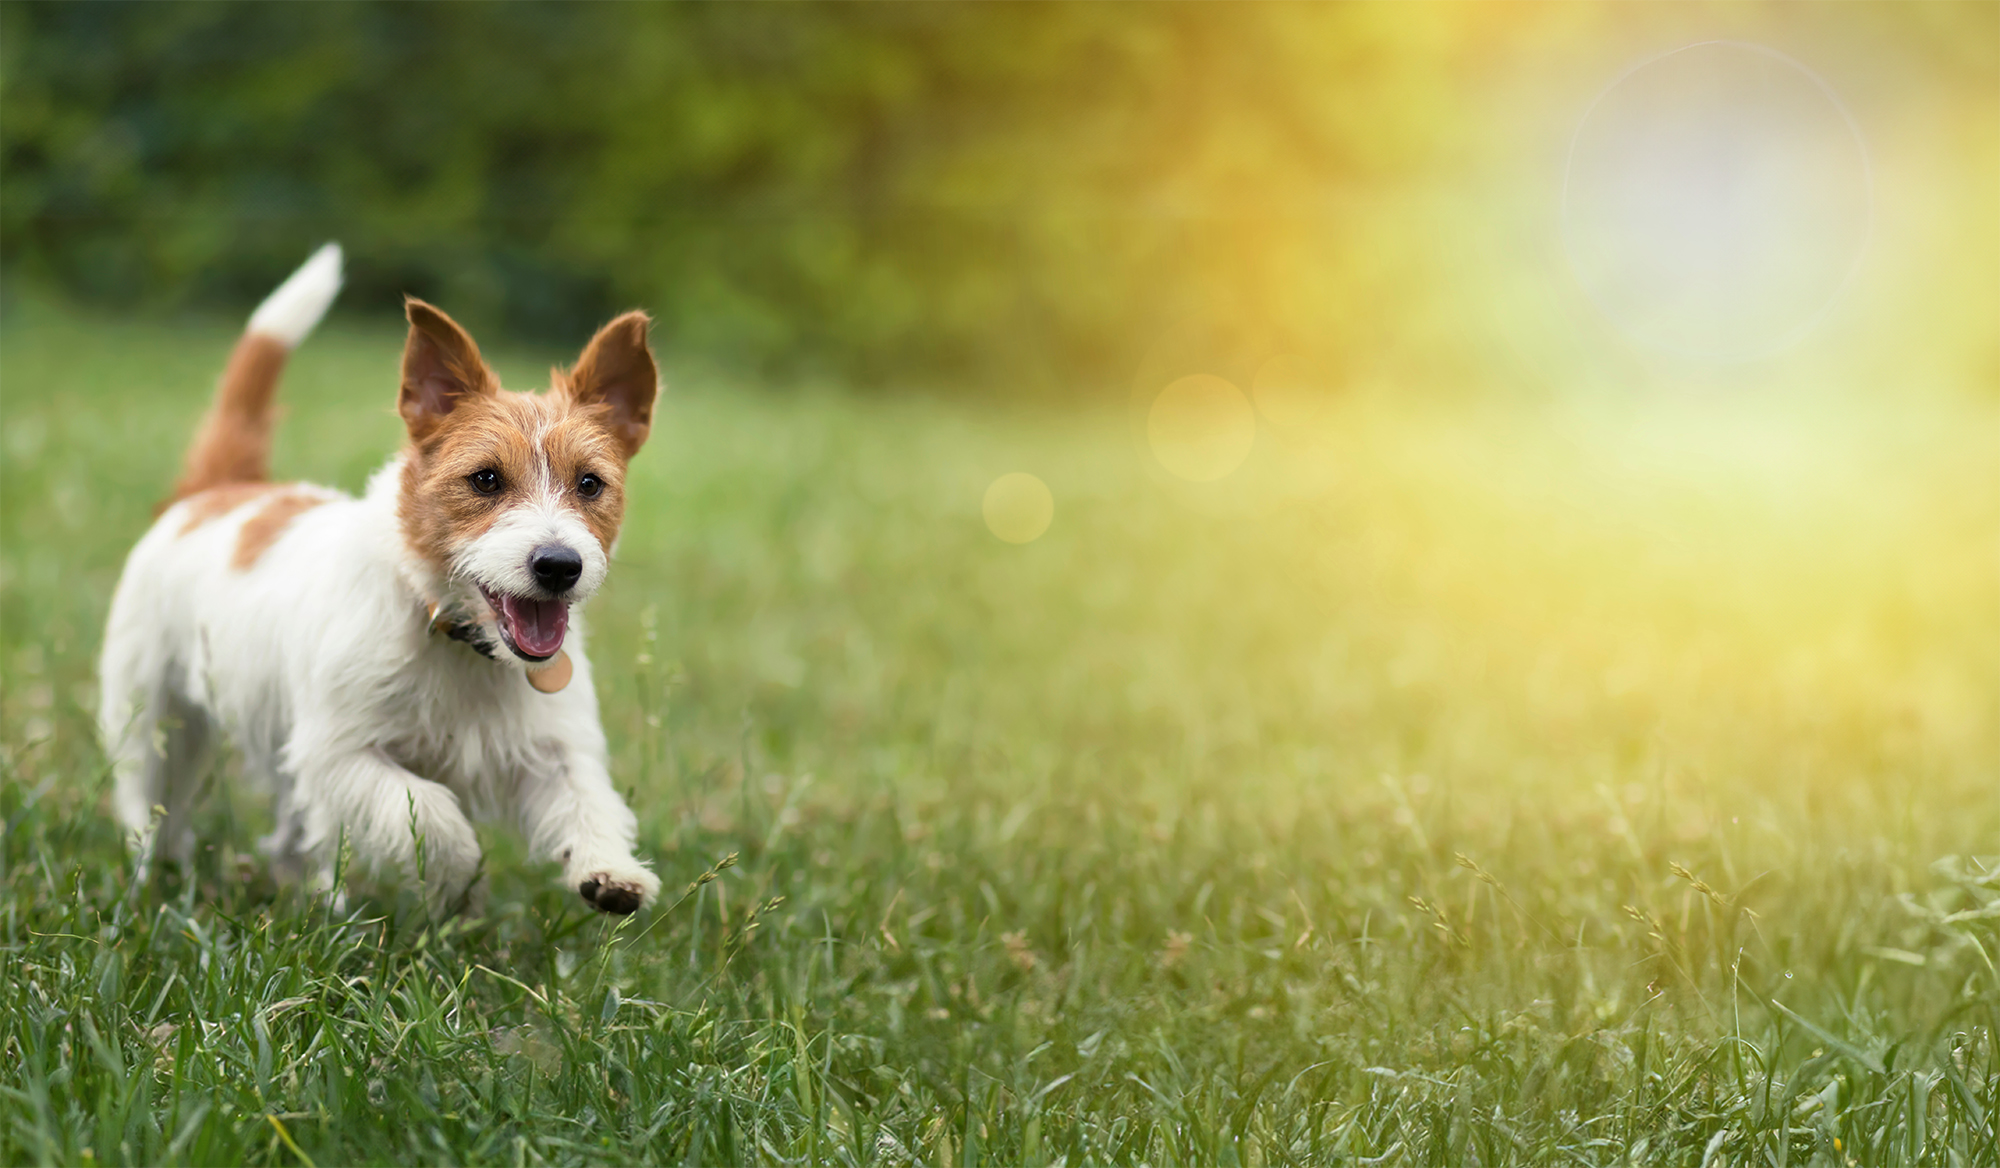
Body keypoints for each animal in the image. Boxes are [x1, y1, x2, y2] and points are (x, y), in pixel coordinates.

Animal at [99, 246, 664, 912]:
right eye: (486, 479)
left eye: (590, 483)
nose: (558, 565)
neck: (451, 632)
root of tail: (218, 488)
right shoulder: (342, 753)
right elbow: (434, 813)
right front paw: (456, 877)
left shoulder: (551, 749)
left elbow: (587, 798)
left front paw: (611, 869)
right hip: (156, 713)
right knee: (150, 795)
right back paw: (155, 875)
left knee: (292, 827)